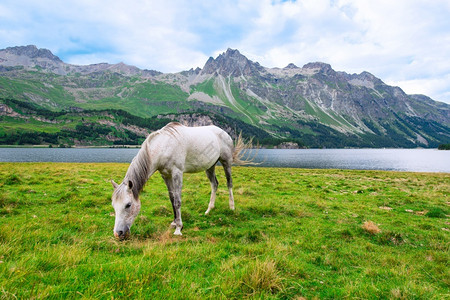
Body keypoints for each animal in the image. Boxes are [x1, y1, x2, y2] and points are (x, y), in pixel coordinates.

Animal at [110, 122, 248, 239]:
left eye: (128, 205)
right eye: (113, 205)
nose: (118, 233)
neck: (164, 146)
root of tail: (224, 133)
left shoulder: (177, 173)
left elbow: (177, 201)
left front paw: (178, 228)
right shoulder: (165, 175)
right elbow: (172, 199)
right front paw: (174, 223)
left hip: (226, 162)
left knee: (229, 183)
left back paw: (232, 207)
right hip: (210, 166)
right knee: (214, 184)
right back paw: (209, 210)